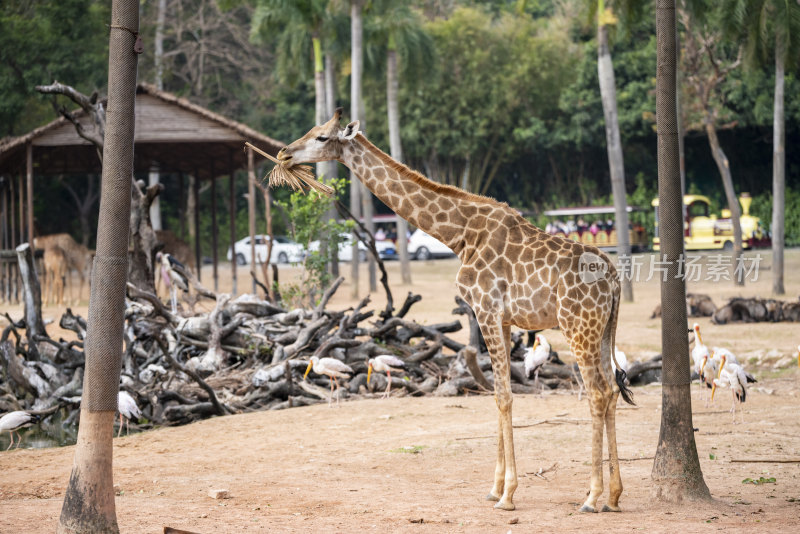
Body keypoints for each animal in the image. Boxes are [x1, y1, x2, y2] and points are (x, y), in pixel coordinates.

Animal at [278, 110, 636, 516]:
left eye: (321, 137)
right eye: (312, 130)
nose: (284, 154)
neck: (459, 234)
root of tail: (614, 278)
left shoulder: (486, 309)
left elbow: (503, 396)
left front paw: (508, 495)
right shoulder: (502, 318)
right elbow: (498, 393)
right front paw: (495, 489)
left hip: (579, 326)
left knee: (597, 393)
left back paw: (591, 498)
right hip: (602, 328)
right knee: (612, 390)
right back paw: (614, 496)